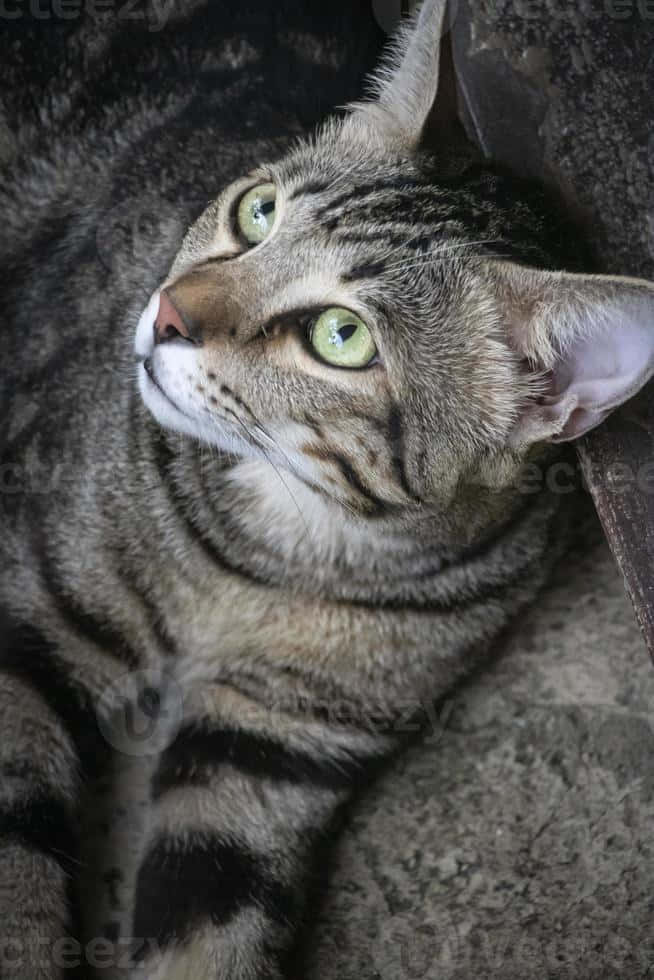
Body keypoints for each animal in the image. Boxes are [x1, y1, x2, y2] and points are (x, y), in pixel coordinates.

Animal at [1, 0, 654, 976]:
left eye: (340, 336)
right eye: (257, 210)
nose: (166, 311)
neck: (280, 551)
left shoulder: (276, 747)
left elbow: (211, 934)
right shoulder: (31, 606)